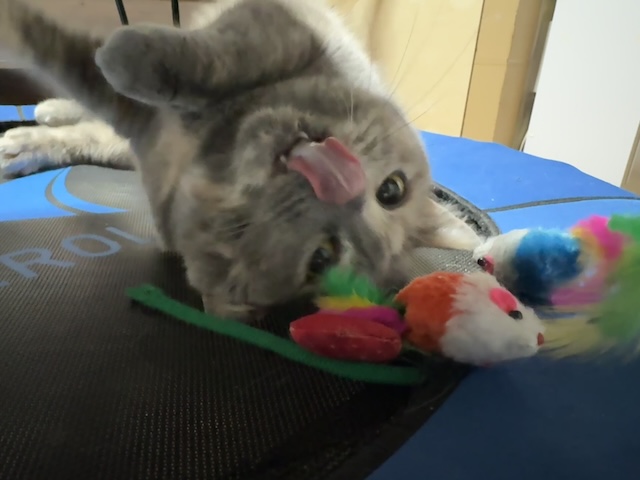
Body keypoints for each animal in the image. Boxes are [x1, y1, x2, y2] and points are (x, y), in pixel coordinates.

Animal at [0, 0, 482, 320]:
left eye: (321, 259)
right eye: (392, 190)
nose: (343, 186)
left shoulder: (139, 126)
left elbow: (71, 61)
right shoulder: (283, 28)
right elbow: (219, 59)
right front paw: (122, 52)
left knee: (90, 131)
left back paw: (21, 142)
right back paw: (46, 113)